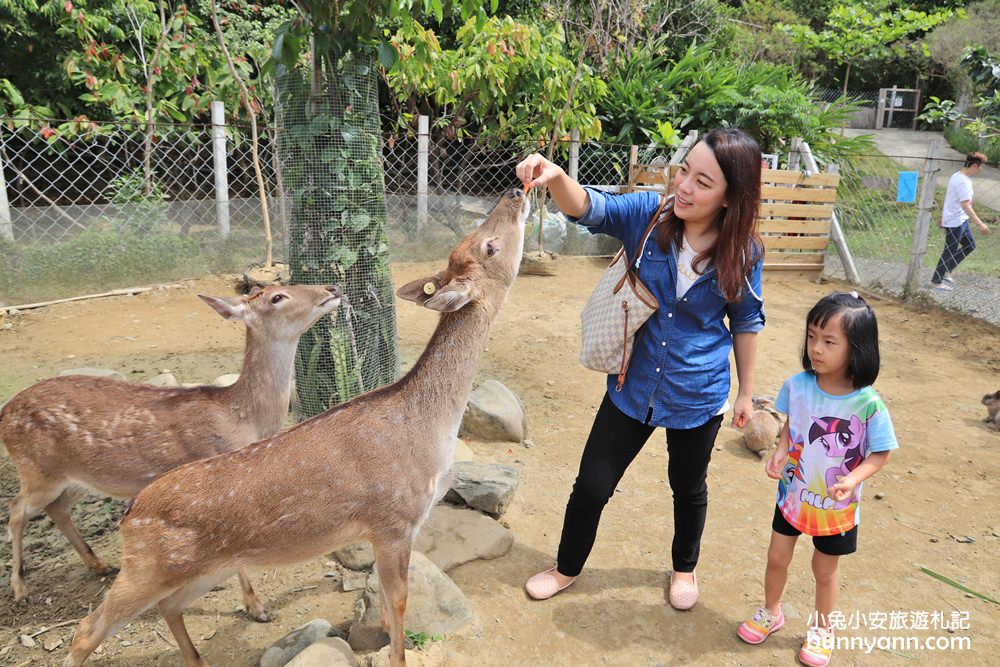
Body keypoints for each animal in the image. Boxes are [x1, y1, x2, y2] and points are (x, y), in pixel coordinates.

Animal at [1, 280, 342, 616]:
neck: (241, 419)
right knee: (16, 509)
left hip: (77, 478)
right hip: (37, 469)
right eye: (277, 297)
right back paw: (20, 589)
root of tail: (5, 413)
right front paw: (256, 607)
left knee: (56, 508)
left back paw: (99, 565)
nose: (332, 288)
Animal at [60, 188, 532, 667]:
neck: (432, 430)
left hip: (204, 568)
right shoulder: (394, 521)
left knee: (169, 606)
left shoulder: (386, 531)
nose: (516, 191)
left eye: (473, 241)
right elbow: (400, 602)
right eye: (489, 246)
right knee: (85, 630)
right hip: (146, 569)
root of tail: (130, 513)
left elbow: (384, 600)